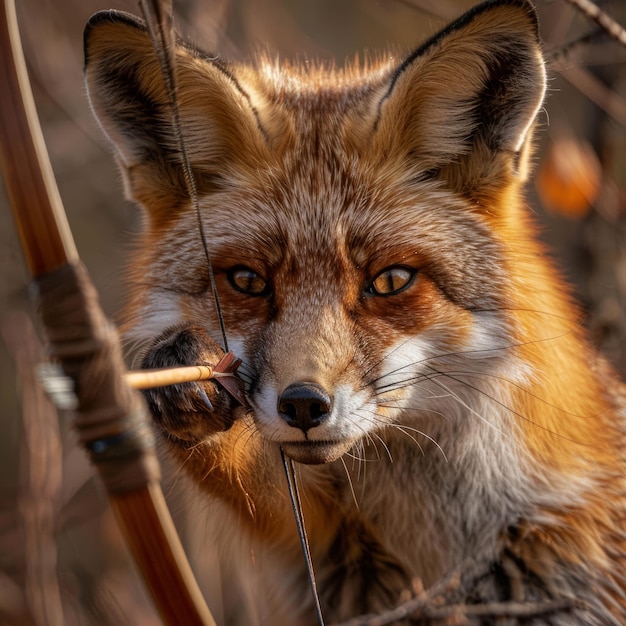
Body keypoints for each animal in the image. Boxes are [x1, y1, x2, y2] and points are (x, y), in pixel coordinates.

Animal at [83, 0, 624, 620]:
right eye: (247, 280)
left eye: (389, 280)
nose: (303, 404)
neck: (437, 539)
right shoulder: (326, 546)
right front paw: (185, 383)